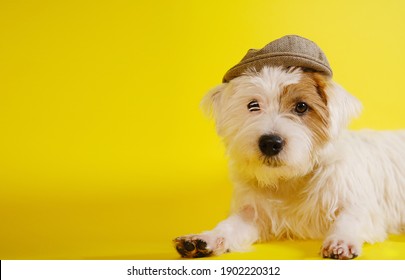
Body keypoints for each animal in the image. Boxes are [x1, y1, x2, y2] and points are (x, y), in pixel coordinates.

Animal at [172, 43, 404, 260]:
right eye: (253, 105)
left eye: (301, 106)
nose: (270, 143)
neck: (291, 178)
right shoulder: (253, 213)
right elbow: (229, 226)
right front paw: (206, 238)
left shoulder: (360, 204)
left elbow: (350, 219)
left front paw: (341, 240)